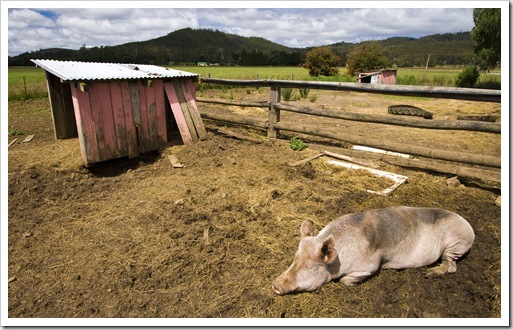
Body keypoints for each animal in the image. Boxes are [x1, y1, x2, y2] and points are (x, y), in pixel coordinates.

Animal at [270, 206, 474, 296]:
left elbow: (345, 280)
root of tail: (468, 226)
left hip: (456, 242)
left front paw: (346, 281)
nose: (275, 285)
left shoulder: (370, 265)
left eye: (310, 267)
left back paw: (429, 273)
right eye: (294, 259)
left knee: (451, 265)